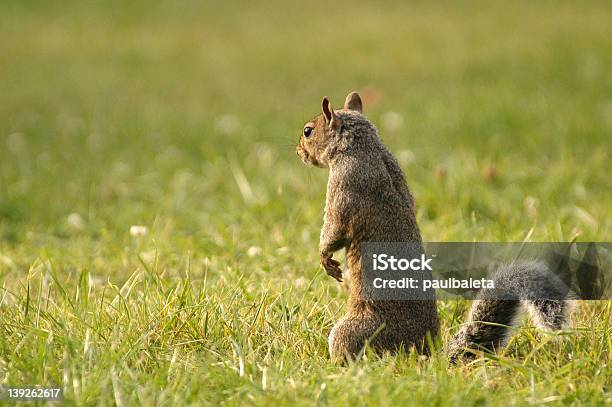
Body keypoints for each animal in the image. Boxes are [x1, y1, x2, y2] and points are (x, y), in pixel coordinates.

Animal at [296, 91, 572, 362]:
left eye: (308, 131)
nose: (298, 152)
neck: (362, 146)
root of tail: (423, 353)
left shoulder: (344, 184)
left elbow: (334, 229)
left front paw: (325, 257)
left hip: (353, 331)